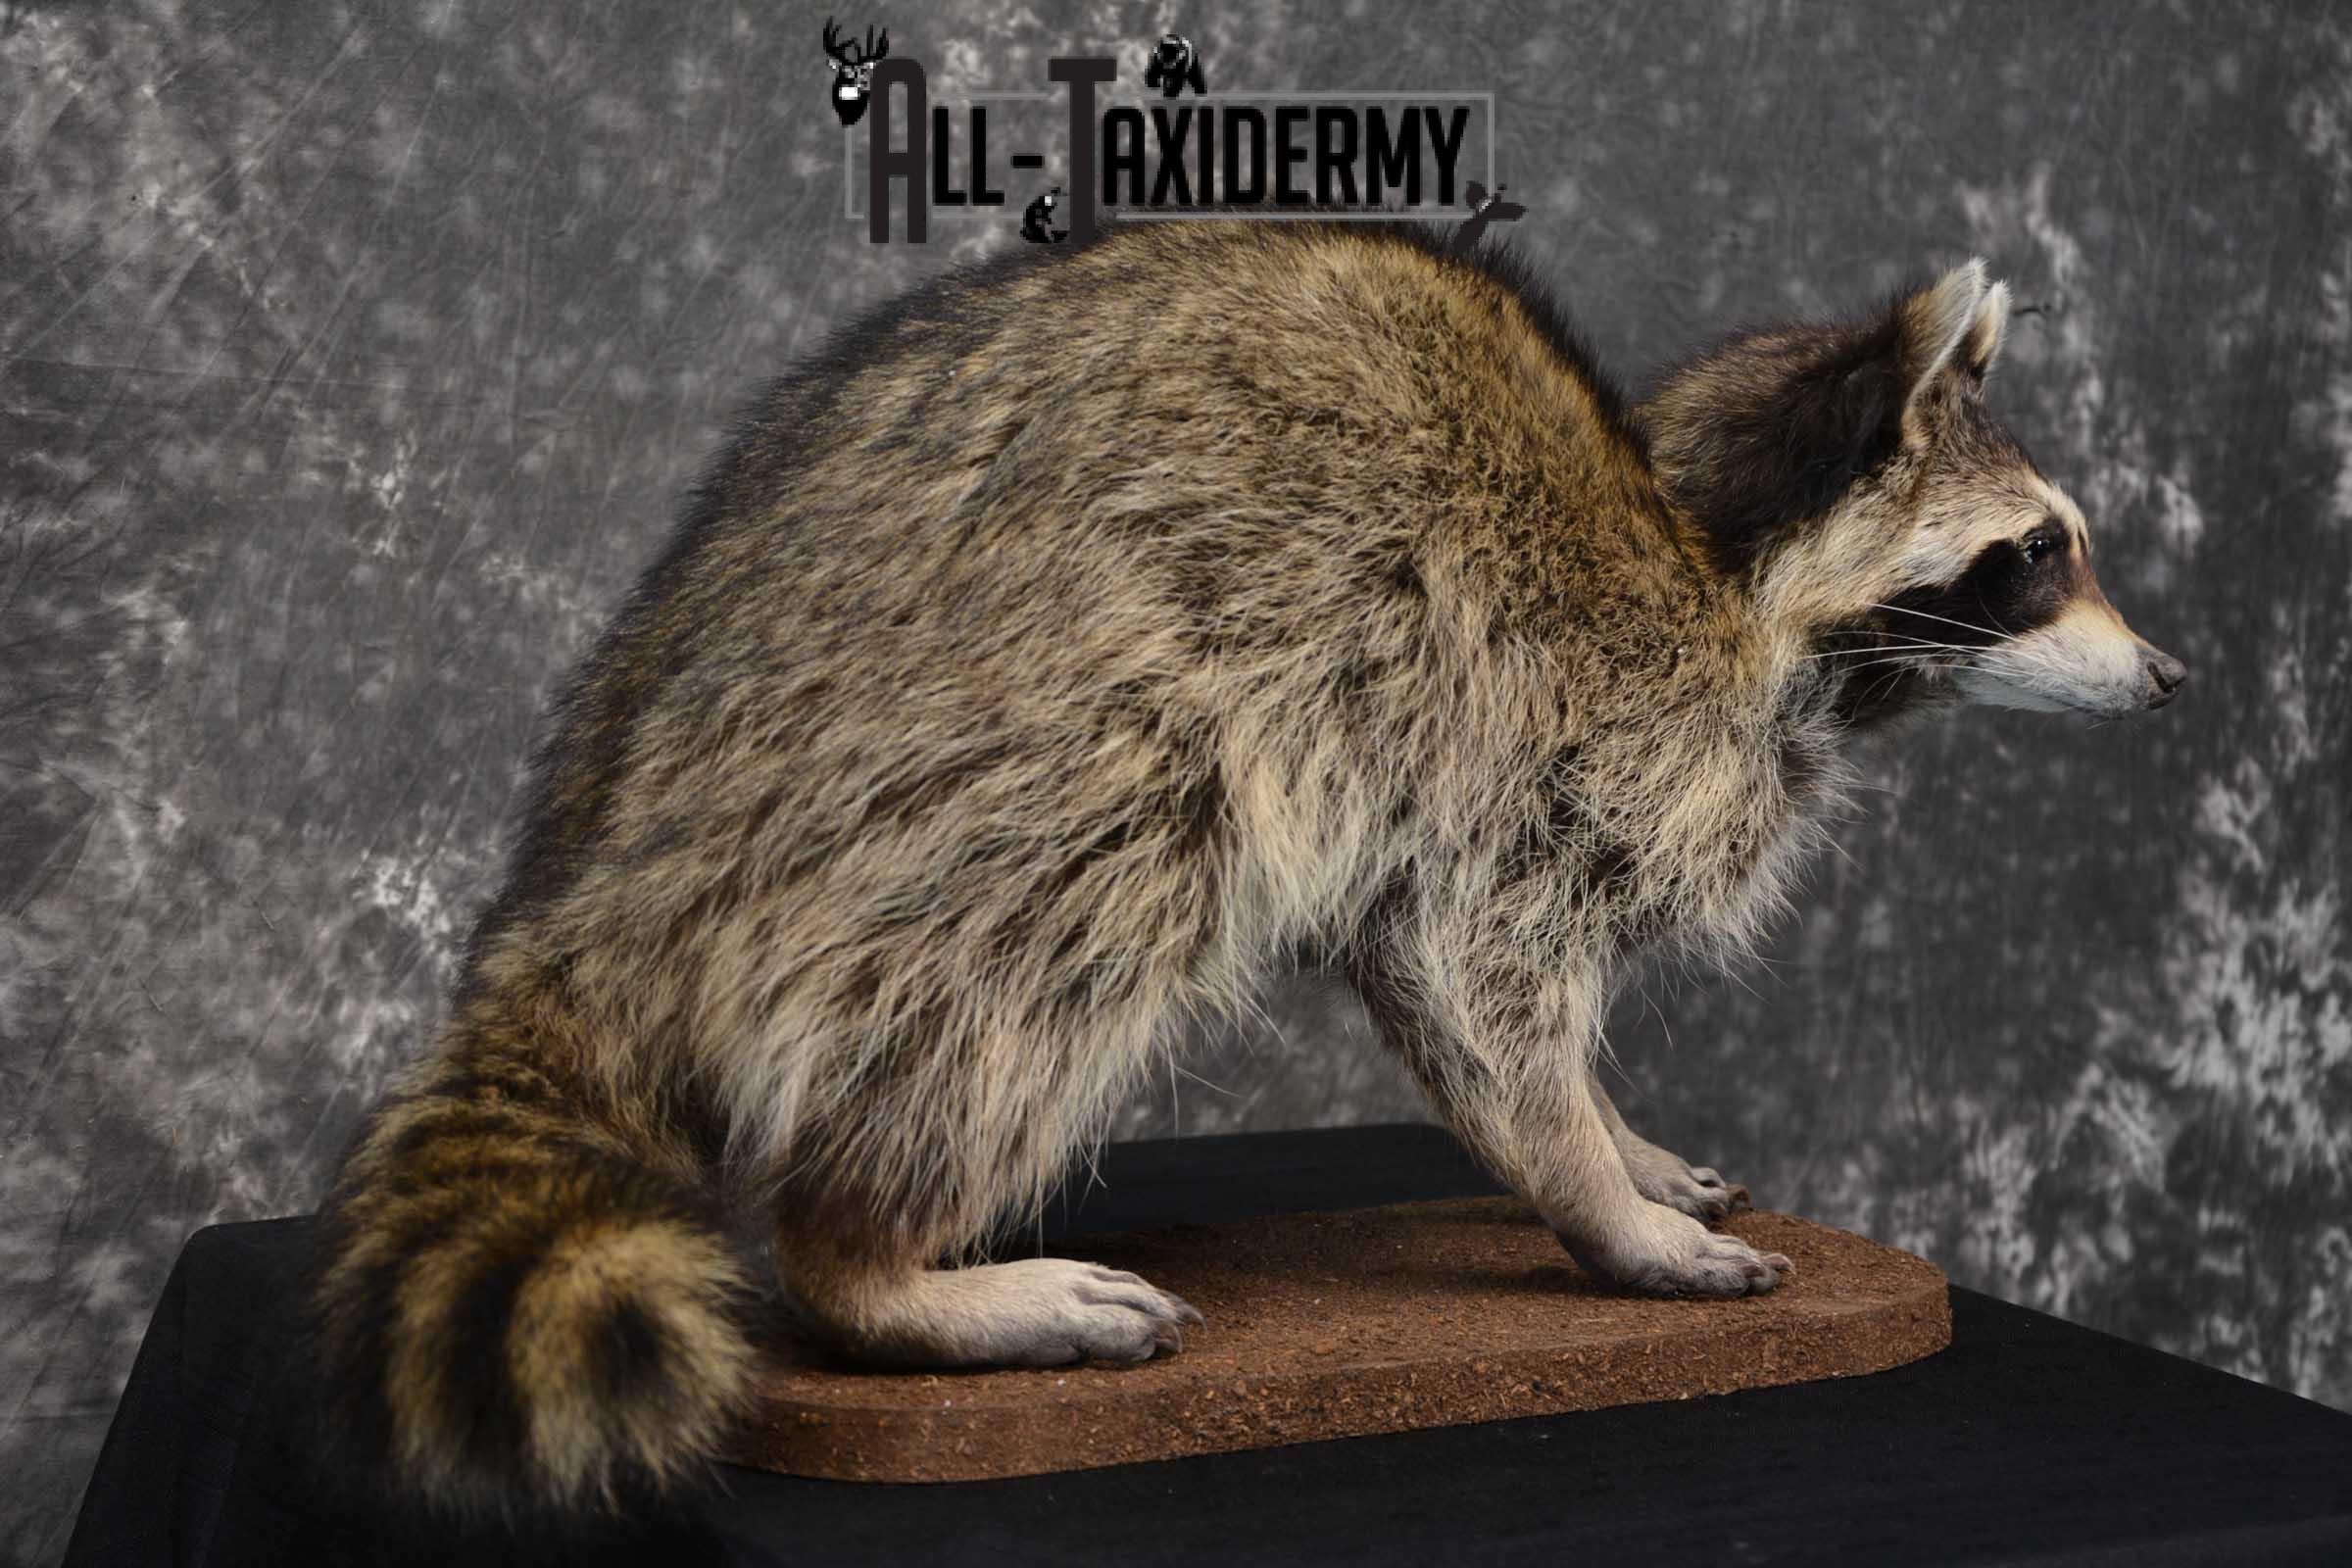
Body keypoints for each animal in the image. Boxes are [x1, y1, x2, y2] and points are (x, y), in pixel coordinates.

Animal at [309, 220, 2185, 1517]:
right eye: (2040, 555)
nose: (2171, 680)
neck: (1711, 550)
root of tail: (600, 877)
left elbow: (1441, 984)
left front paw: (1625, 1142)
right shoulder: (1525, 709)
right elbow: (1476, 974)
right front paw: (1598, 1187)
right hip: (988, 749)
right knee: (1076, 895)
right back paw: (882, 1260)